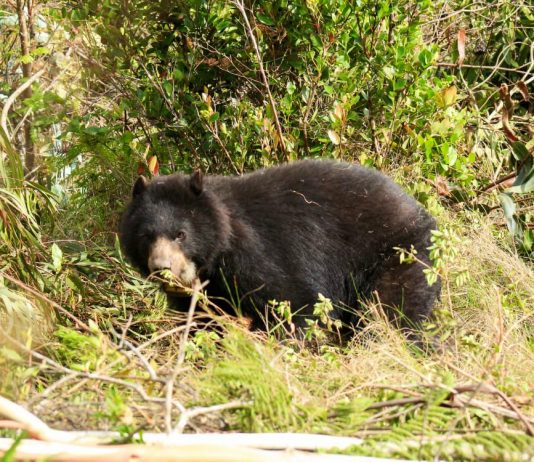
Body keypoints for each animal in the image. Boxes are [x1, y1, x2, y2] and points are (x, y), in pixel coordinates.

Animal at [119, 159, 440, 335]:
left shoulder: (258, 253)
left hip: (396, 254)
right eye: (146, 236)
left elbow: (295, 302)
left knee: (392, 311)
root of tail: (419, 210)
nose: (161, 268)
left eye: (181, 234)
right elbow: (202, 319)